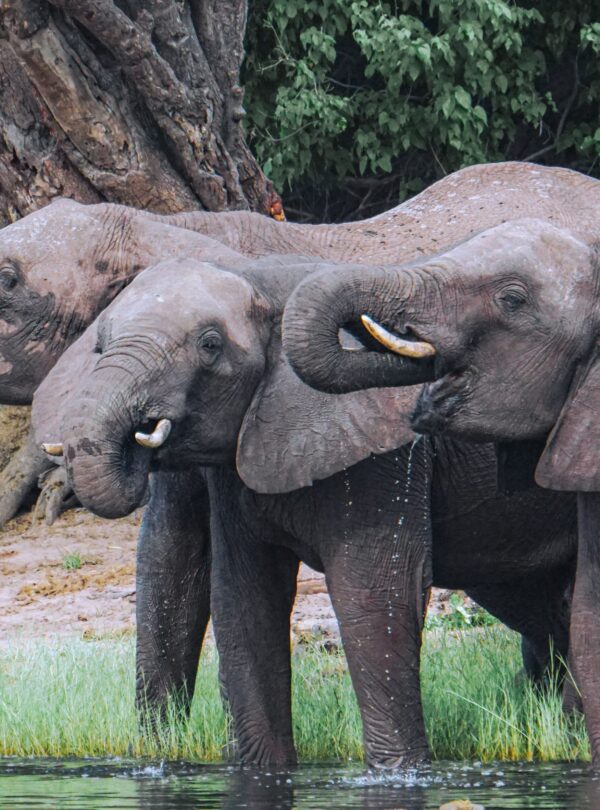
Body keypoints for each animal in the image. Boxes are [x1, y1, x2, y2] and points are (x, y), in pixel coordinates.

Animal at [32, 254, 577, 768]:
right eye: (99, 347)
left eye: (210, 345)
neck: (264, 279)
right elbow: (244, 598)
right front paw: (261, 772)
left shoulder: (380, 458)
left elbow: (374, 594)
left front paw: (399, 774)